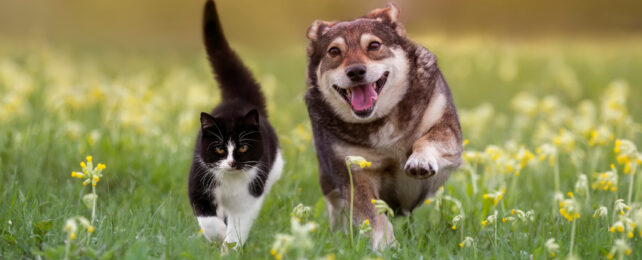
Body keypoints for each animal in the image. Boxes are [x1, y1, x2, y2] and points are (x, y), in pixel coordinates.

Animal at [188, 0, 282, 248]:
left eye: (243, 147)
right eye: (220, 149)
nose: (231, 163)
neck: (229, 182)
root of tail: (240, 99)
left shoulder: (249, 197)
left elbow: (238, 227)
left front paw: (229, 247)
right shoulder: (199, 182)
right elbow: (207, 219)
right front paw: (218, 235)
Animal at [304, 3, 460, 249]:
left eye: (374, 45)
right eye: (334, 51)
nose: (356, 71)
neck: (381, 119)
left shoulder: (447, 128)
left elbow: (428, 139)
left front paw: (420, 161)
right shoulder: (354, 173)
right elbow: (372, 215)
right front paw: (385, 245)